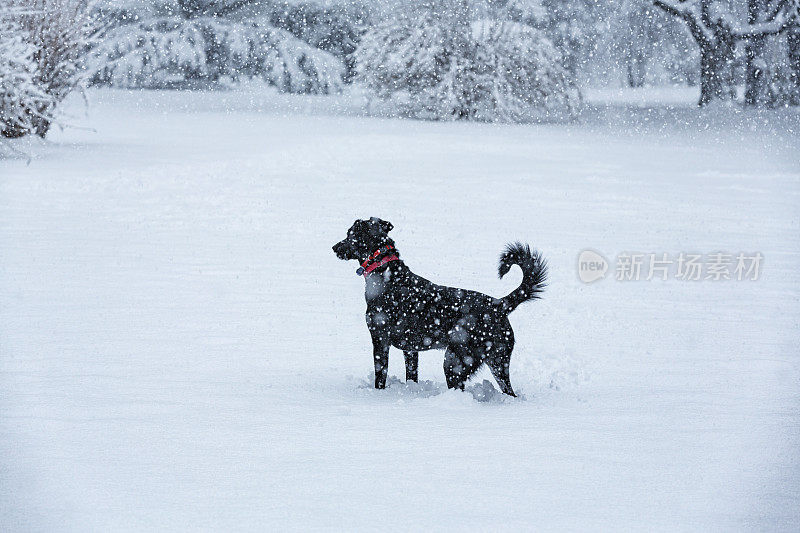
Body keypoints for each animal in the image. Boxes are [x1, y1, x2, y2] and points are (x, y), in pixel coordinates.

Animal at [332, 216, 552, 394]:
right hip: (497, 362)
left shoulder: (380, 340)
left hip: (456, 361)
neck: (385, 273)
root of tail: (499, 304)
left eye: (350, 234)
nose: (334, 247)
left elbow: (380, 376)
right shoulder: (410, 350)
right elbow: (411, 376)